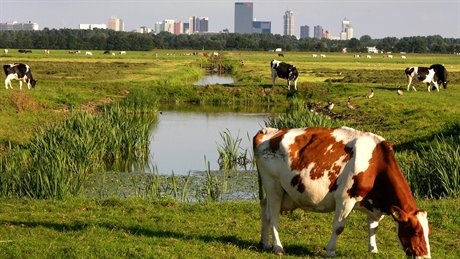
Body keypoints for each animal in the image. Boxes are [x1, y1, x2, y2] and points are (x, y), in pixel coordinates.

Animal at [255, 126, 432, 258]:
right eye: (416, 232)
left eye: (428, 232)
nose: (425, 257)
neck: (377, 164)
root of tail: (268, 131)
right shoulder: (345, 199)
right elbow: (339, 227)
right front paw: (330, 251)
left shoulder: (372, 203)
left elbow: (373, 227)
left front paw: (373, 249)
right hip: (273, 185)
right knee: (273, 216)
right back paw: (278, 247)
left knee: (264, 209)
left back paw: (265, 243)